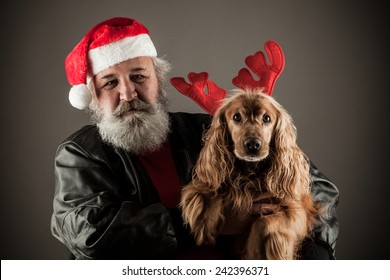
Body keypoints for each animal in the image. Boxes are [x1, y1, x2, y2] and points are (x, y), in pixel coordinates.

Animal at [180, 88, 320, 260]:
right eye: (236, 117)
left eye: (266, 118)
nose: (253, 144)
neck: (250, 173)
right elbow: (209, 189)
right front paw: (205, 224)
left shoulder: (297, 213)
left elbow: (264, 223)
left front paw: (253, 251)